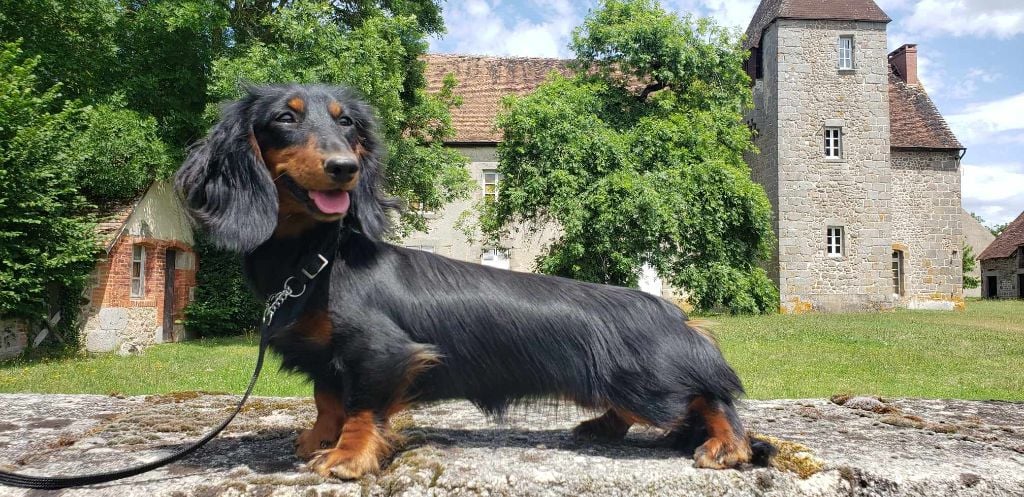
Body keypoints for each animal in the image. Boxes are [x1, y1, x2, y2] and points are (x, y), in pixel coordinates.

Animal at [176, 84, 770, 477]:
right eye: (285, 117)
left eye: (347, 124)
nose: (345, 167)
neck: (317, 260)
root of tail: (675, 314)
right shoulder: (329, 356)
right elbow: (328, 397)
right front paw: (318, 440)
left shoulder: (381, 351)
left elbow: (361, 406)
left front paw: (346, 455)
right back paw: (601, 425)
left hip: (649, 380)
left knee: (709, 397)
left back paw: (727, 444)